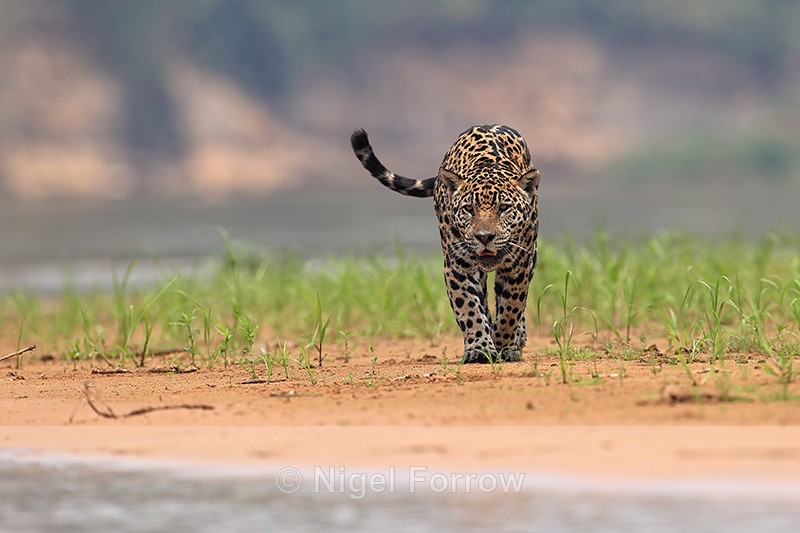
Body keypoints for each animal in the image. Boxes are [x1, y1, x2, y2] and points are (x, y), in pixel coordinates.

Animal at [350, 124, 540, 364]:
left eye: (504, 208)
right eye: (469, 209)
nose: (484, 237)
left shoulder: (519, 265)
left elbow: (511, 308)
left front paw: (502, 344)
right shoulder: (458, 267)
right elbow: (469, 308)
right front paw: (480, 348)